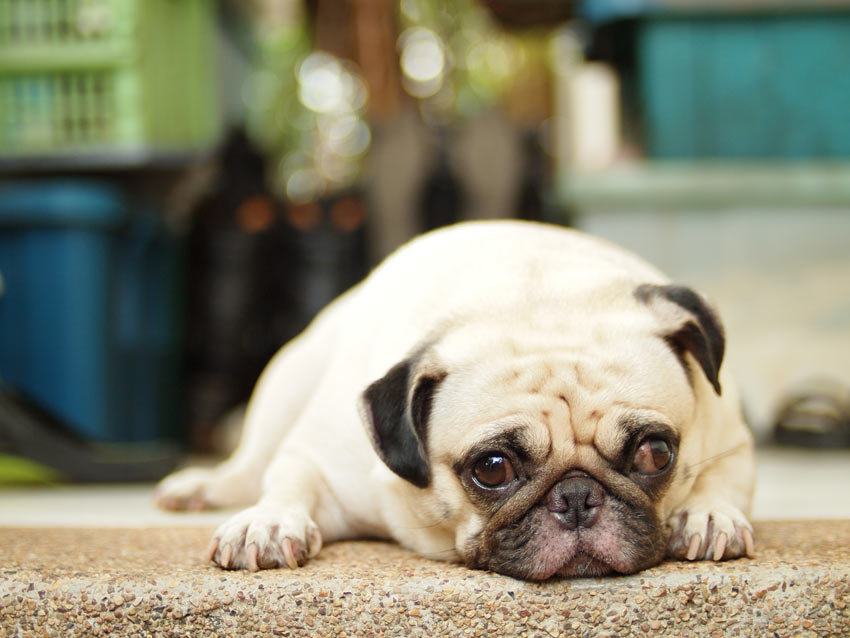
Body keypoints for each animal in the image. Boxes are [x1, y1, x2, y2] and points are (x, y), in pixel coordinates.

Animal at [156, 222, 752, 584]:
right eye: (492, 468)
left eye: (656, 454)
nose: (578, 497)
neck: (534, 299)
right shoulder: (322, 461)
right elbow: (289, 480)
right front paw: (269, 523)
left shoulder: (728, 434)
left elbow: (724, 475)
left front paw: (708, 514)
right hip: (283, 385)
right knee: (251, 464)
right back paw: (203, 487)